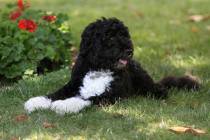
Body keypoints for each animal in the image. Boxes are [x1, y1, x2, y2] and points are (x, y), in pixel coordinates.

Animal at [24, 17, 199, 115]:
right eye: (111, 37)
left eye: (125, 35)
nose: (129, 50)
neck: (99, 68)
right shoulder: (73, 84)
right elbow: (54, 93)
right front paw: (37, 101)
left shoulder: (110, 95)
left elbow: (87, 98)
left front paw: (64, 105)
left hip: (144, 80)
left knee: (158, 89)